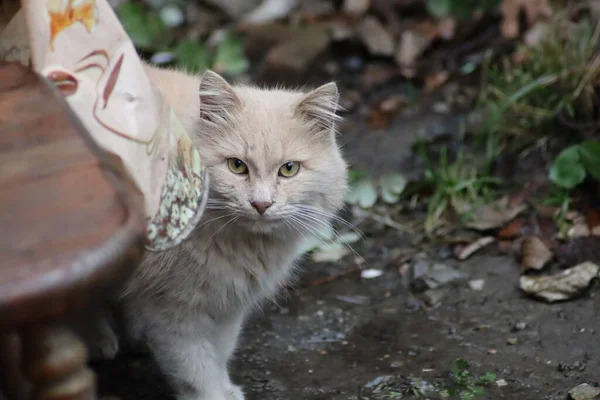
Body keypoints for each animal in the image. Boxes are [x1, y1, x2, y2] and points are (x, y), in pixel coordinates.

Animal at [92, 66, 350, 400]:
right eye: (237, 166)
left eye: (289, 169)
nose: (261, 204)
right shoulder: (173, 312)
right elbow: (195, 370)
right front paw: (212, 393)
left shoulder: (228, 304)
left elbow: (220, 351)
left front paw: (227, 389)